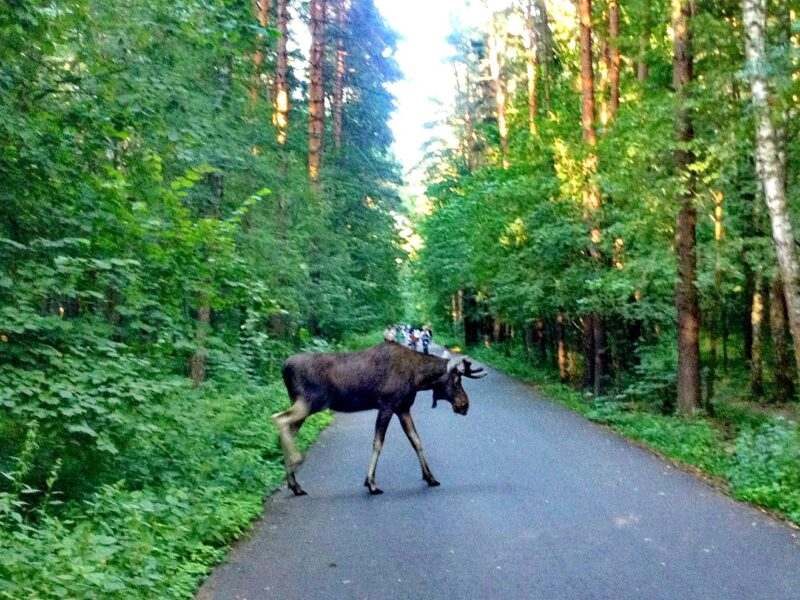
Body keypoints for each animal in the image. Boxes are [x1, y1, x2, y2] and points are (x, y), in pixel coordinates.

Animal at [274, 340, 488, 494]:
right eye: (456, 380)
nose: (465, 405)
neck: (419, 379)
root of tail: (284, 367)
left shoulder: (403, 408)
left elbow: (416, 440)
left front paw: (430, 477)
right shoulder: (387, 405)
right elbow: (378, 443)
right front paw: (371, 483)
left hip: (303, 404)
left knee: (286, 428)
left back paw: (295, 484)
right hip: (310, 402)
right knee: (279, 419)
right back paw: (296, 460)